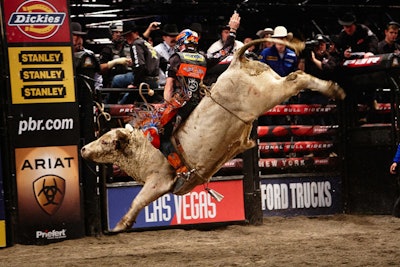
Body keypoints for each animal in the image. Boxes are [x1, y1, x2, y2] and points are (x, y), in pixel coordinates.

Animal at [79, 37, 346, 232]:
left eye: (106, 141)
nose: (83, 149)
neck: (143, 148)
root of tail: (236, 62)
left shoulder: (160, 180)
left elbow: (138, 199)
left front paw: (120, 225)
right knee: (296, 77)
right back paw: (334, 89)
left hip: (268, 93)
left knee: (297, 78)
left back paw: (334, 89)